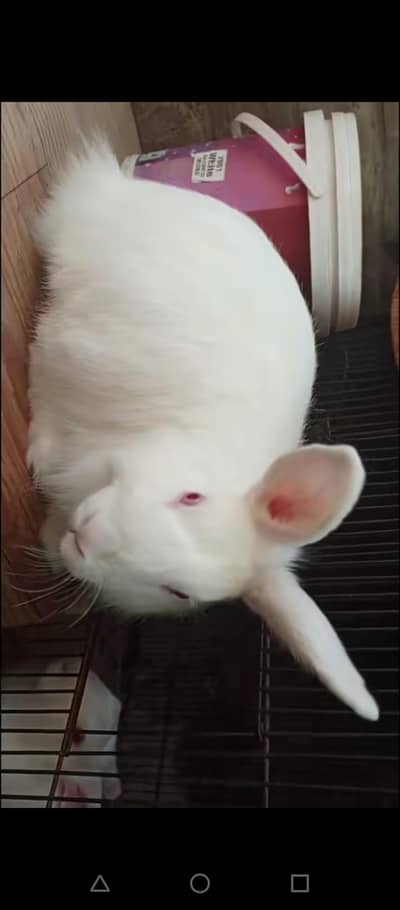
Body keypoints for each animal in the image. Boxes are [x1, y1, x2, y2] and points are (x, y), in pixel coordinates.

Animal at [27, 138, 378, 722]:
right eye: (192, 497)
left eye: (178, 593)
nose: (92, 538)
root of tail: (122, 189)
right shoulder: (72, 371)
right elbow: (44, 389)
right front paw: (33, 452)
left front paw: (50, 540)